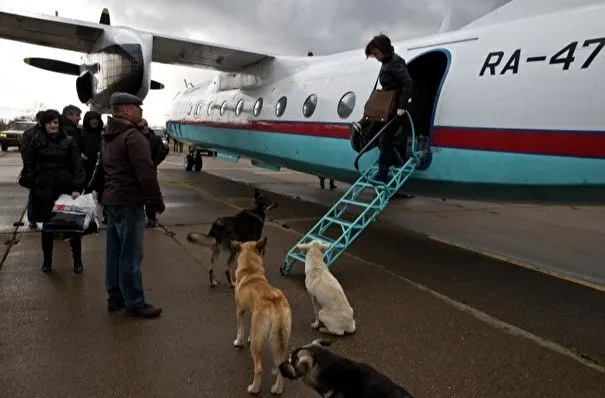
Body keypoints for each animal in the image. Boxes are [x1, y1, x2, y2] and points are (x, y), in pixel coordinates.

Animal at [230, 236, 292, 394]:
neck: (250, 269)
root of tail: (275, 301)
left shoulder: (239, 310)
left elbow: (240, 330)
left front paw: (239, 342)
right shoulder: (253, 316)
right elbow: (250, 330)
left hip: (258, 345)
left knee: (258, 369)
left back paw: (254, 389)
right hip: (282, 342)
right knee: (282, 367)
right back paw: (277, 389)